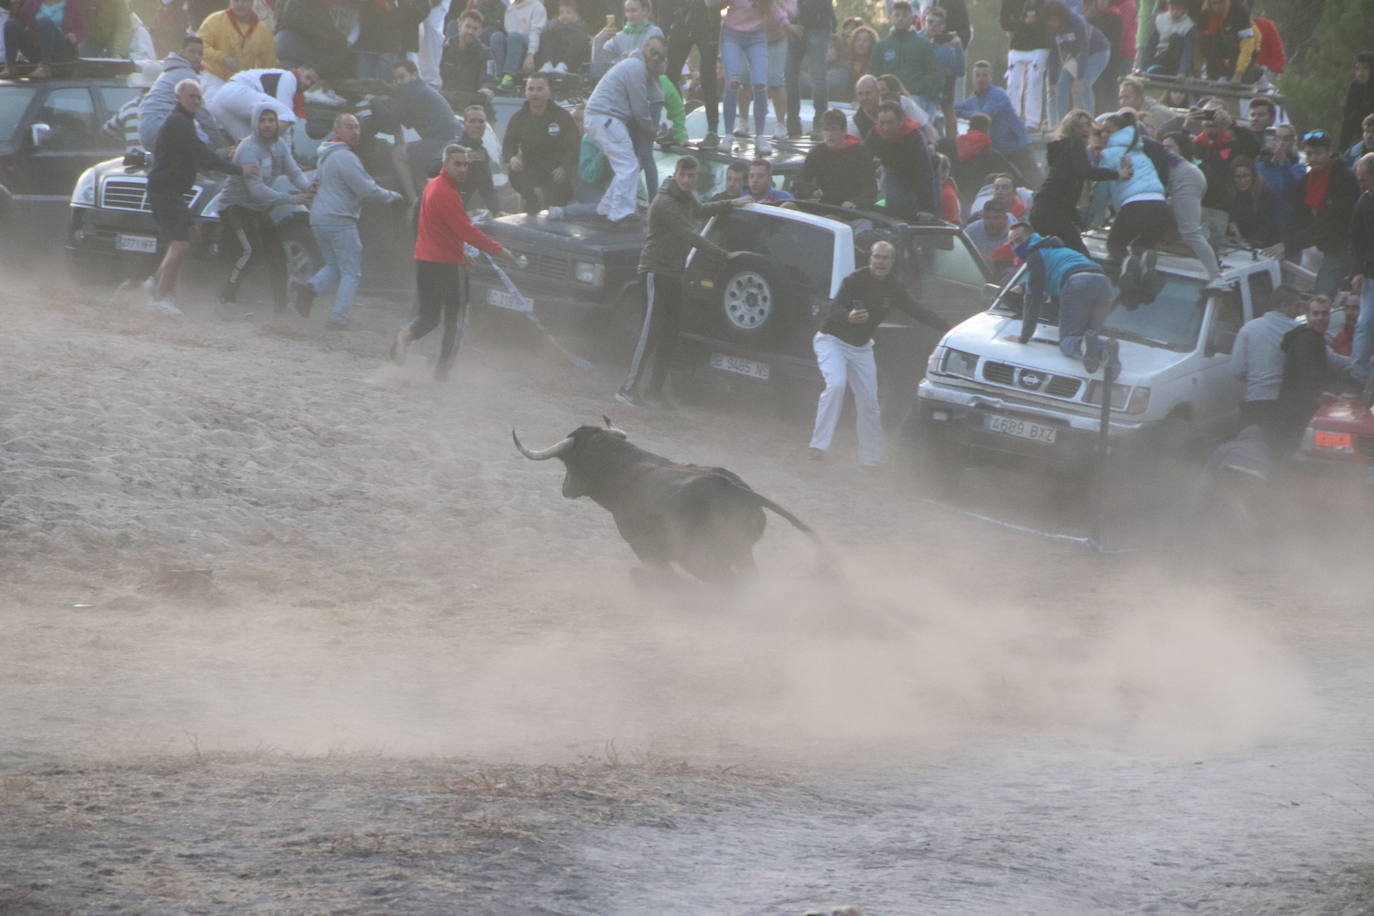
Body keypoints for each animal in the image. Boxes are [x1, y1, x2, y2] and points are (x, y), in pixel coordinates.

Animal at [511, 420, 818, 585]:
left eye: (570, 463)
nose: (565, 488)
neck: (625, 470)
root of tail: (736, 490)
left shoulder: (646, 550)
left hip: (703, 558)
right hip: (740, 553)